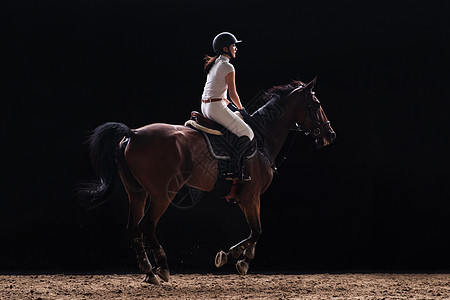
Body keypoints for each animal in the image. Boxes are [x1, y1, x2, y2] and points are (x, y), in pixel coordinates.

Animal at [79, 77, 336, 284]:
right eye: (317, 105)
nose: (330, 134)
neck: (262, 137)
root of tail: (133, 134)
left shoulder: (245, 199)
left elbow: (254, 232)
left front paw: (235, 256)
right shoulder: (251, 196)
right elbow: (257, 231)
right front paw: (239, 258)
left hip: (137, 193)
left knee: (134, 229)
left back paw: (149, 271)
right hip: (163, 194)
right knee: (147, 226)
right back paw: (162, 268)